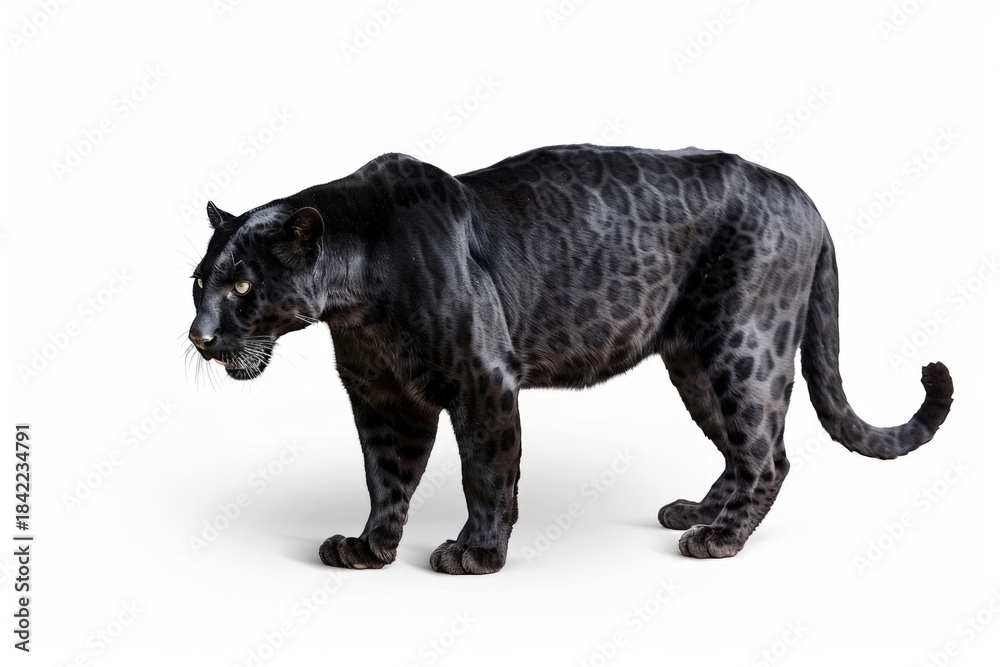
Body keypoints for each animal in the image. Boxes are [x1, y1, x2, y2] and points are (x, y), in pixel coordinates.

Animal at [187, 144, 954, 574]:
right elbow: (387, 477)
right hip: (694, 362)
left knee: (771, 455)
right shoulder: (383, 399)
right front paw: (370, 549)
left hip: (744, 347)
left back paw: (719, 540)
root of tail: (805, 197)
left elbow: (486, 472)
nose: (199, 336)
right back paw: (696, 513)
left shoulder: (484, 381)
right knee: (744, 450)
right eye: (198, 282)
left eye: (243, 286)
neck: (354, 296)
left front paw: (476, 554)